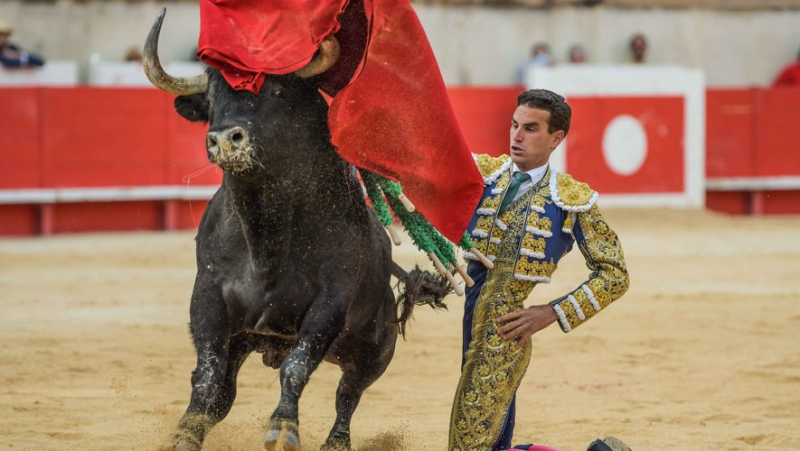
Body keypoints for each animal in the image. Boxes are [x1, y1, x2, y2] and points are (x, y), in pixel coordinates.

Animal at [145, 8, 454, 450]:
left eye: (277, 92)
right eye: (212, 100)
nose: (225, 140)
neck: (265, 236)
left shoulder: (331, 300)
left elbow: (297, 365)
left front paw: (283, 428)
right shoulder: (207, 294)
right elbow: (206, 373)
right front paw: (185, 433)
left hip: (375, 351)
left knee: (348, 394)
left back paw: (336, 442)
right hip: (245, 342)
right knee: (224, 394)